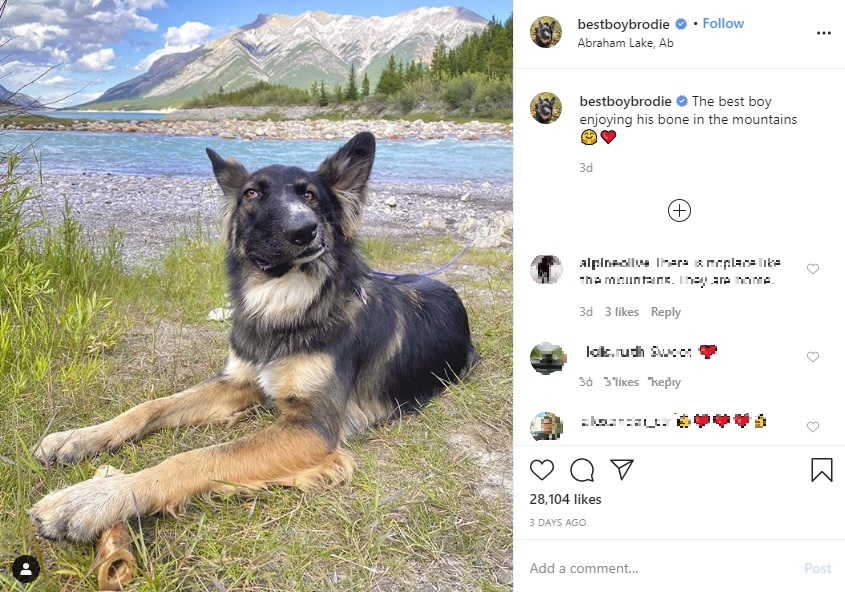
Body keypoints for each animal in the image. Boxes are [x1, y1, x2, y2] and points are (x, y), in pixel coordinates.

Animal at [29, 131, 478, 540]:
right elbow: (149, 407)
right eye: (250, 194)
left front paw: (99, 496)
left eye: (311, 196)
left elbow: (197, 457)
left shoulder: (311, 428)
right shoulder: (238, 381)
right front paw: (79, 438)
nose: (304, 230)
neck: (284, 305)